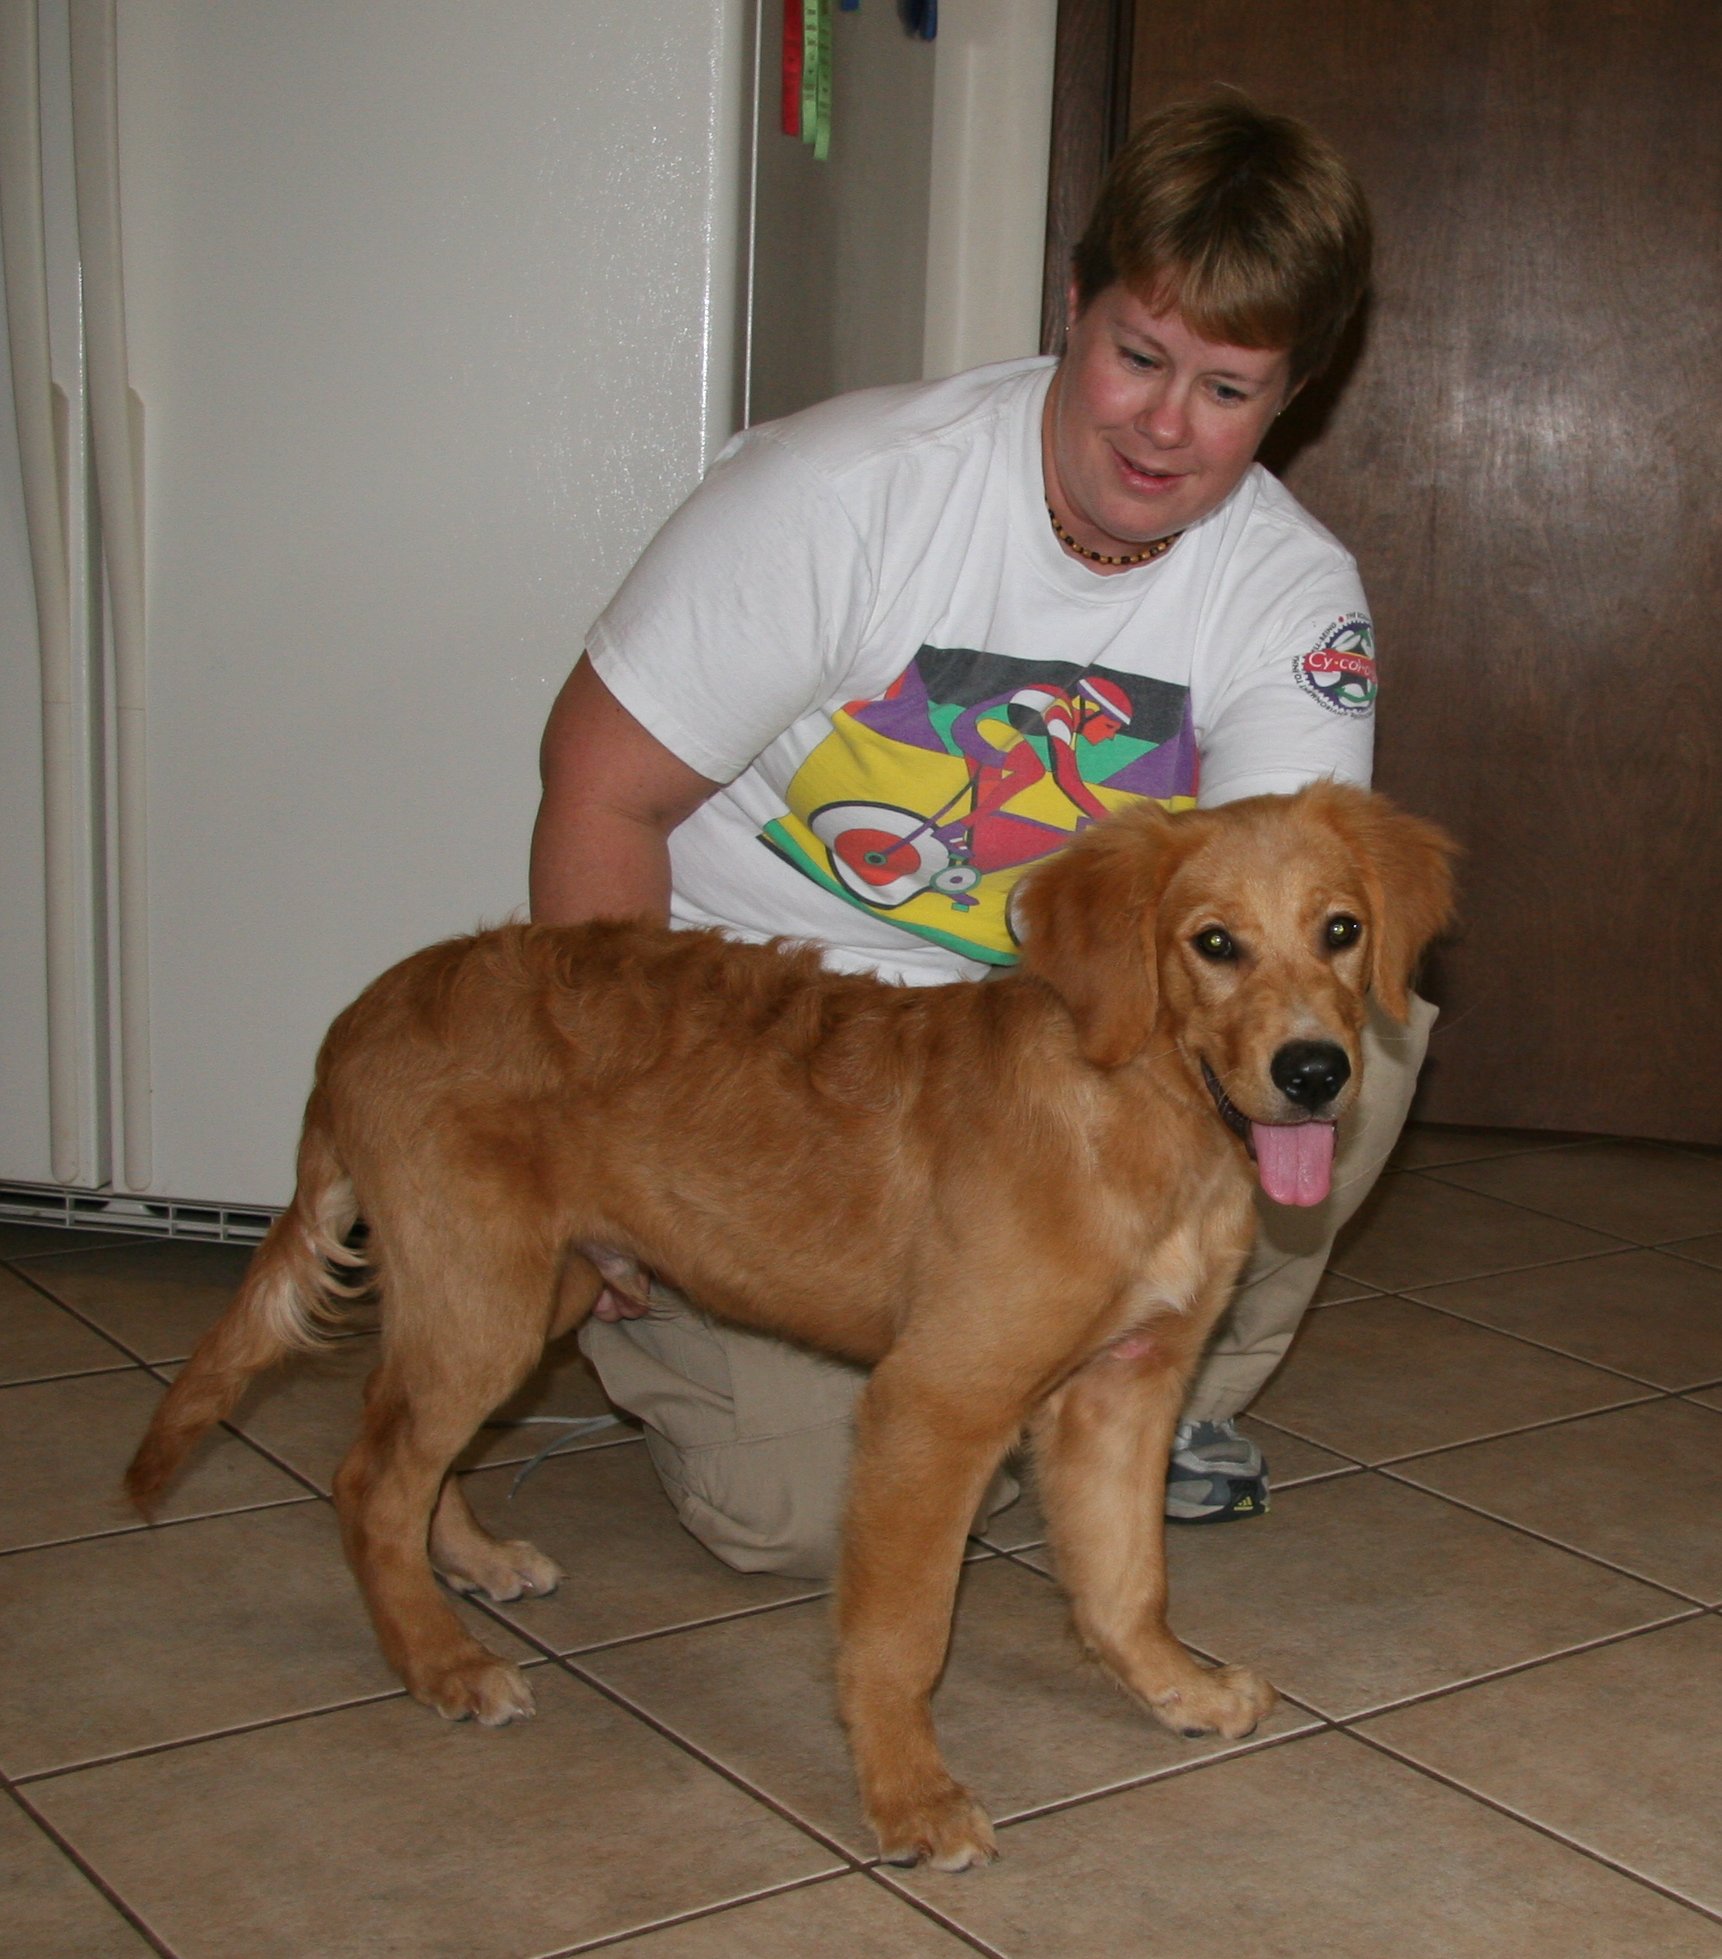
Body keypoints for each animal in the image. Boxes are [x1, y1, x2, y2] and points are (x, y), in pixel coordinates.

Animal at [128, 775, 1457, 1864]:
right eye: (1214, 945)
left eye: (1341, 931)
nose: (1314, 1074)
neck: (1141, 1106)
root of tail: (369, 1008)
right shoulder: (935, 1402)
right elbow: (904, 1632)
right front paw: (910, 1797)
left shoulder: (1125, 1388)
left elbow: (1128, 1578)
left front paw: (1174, 1690)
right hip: (486, 1294)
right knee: (368, 1476)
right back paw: (440, 1663)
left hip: (530, 1289)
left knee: (409, 1449)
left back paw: (473, 1566)